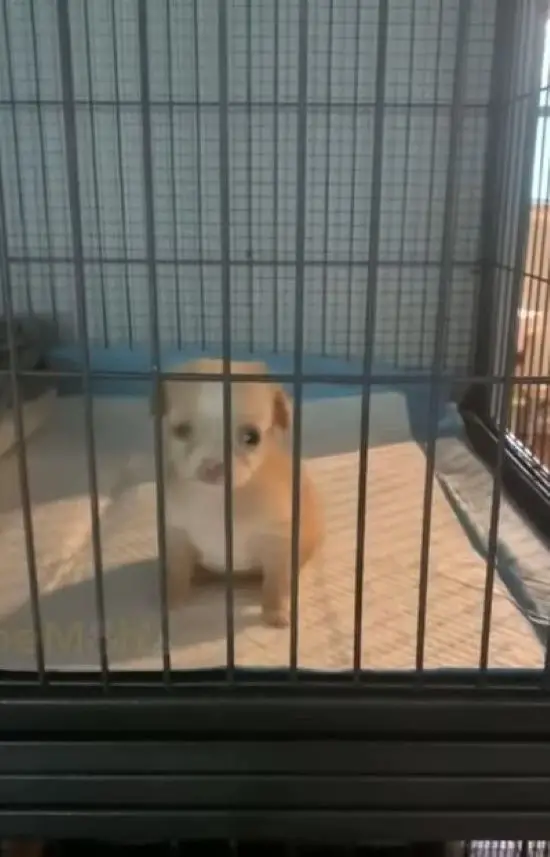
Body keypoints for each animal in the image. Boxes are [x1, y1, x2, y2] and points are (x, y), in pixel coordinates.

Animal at [151, 358, 324, 624]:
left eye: (251, 437)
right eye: (181, 431)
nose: (214, 466)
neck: (219, 500)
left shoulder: (277, 543)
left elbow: (275, 583)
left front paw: (275, 612)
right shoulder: (177, 535)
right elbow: (177, 573)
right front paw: (172, 601)